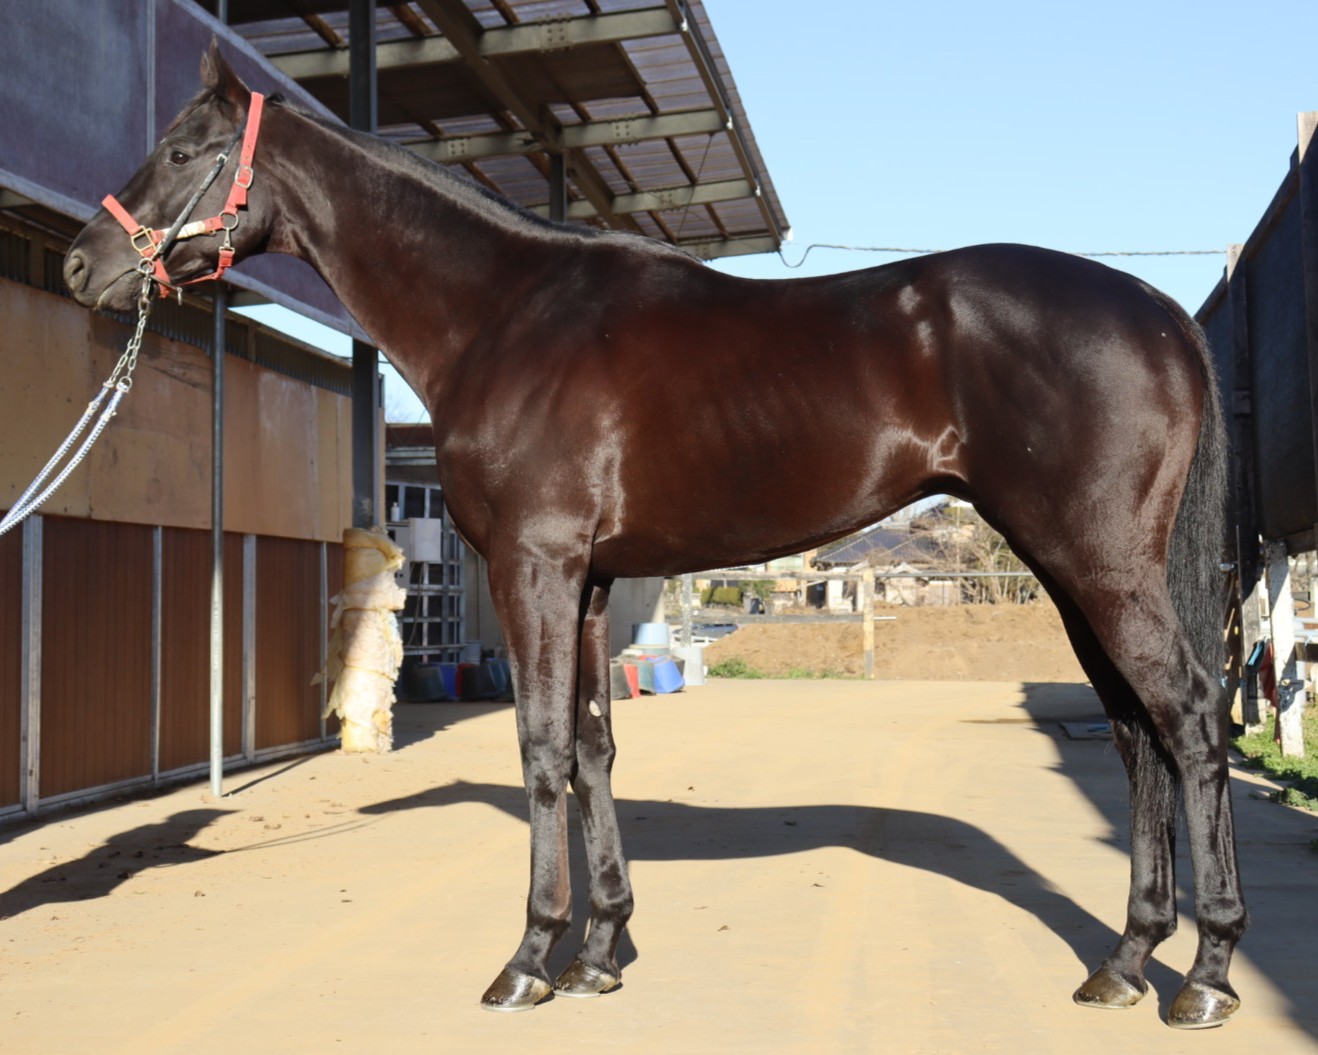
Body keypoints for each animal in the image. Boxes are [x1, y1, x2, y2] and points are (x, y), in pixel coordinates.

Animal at [63, 44, 1246, 1028]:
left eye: (183, 150)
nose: (83, 266)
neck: (506, 316)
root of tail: (1155, 307)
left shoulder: (535, 566)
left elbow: (542, 749)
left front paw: (529, 959)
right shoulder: (590, 584)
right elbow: (593, 749)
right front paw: (599, 950)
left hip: (1098, 563)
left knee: (1189, 719)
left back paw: (1205, 975)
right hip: (1069, 569)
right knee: (1135, 732)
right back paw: (1125, 962)